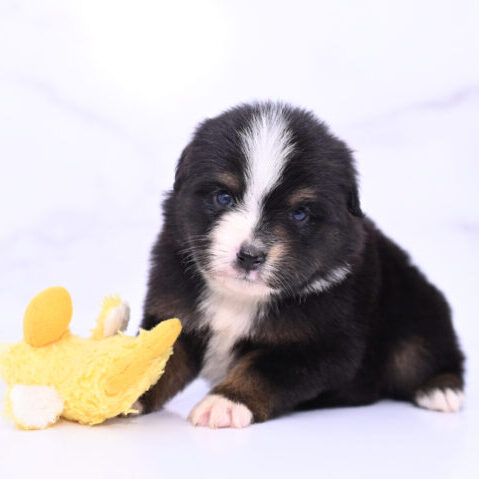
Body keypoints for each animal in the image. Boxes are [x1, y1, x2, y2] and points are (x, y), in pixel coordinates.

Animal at [139, 102, 464, 432]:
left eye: (299, 214)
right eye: (223, 197)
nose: (250, 256)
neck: (240, 298)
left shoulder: (319, 345)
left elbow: (262, 370)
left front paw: (225, 403)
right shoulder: (176, 314)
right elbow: (158, 360)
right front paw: (131, 389)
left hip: (415, 316)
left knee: (429, 355)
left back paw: (441, 390)